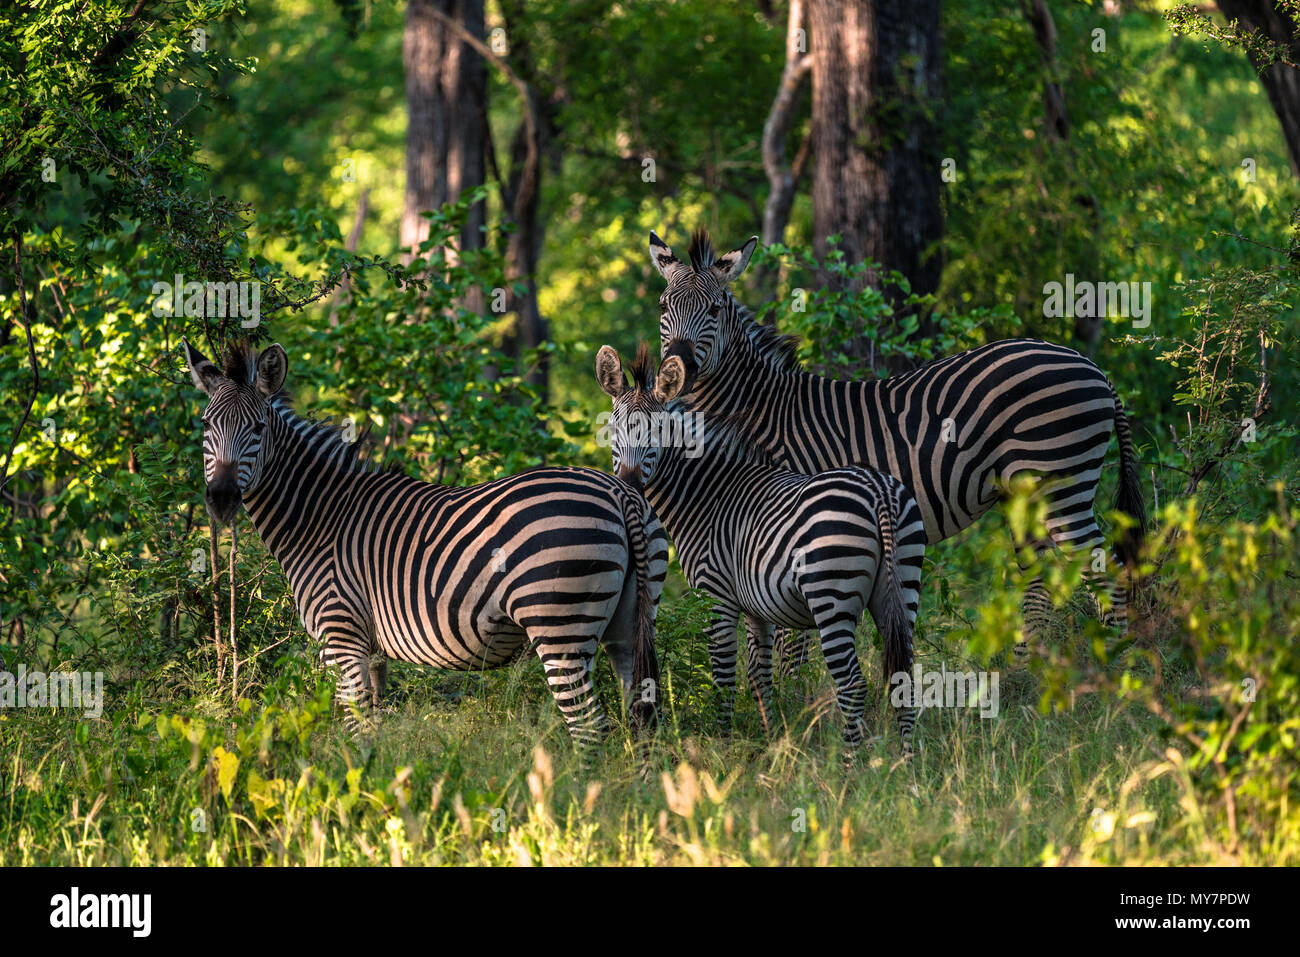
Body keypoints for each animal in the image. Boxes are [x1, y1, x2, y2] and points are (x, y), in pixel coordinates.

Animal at [183, 338, 667, 754]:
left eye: (257, 427)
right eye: (205, 425)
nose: (220, 499)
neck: (320, 516)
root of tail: (621, 493)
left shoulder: (342, 635)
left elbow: (357, 727)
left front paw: (358, 790)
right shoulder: (372, 650)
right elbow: (374, 724)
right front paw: (380, 787)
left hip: (559, 624)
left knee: (589, 727)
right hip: (629, 623)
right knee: (641, 718)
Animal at [596, 342, 927, 755]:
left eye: (659, 431)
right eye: (614, 428)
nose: (629, 483)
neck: (708, 493)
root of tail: (878, 490)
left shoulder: (716, 595)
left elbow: (724, 678)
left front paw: (723, 745)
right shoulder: (757, 606)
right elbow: (759, 677)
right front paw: (773, 742)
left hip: (831, 595)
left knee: (852, 684)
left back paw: (852, 763)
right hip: (901, 587)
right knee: (903, 679)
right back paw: (907, 761)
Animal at [648, 229, 1146, 669]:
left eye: (714, 309)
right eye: (664, 307)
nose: (675, 369)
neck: (759, 410)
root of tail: (1093, 367)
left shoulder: (787, 521)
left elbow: (790, 637)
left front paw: (795, 700)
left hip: (1062, 487)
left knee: (1108, 573)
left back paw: (1116, 674)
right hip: (1027, 496)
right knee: (1041, 582)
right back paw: (1027, 680)